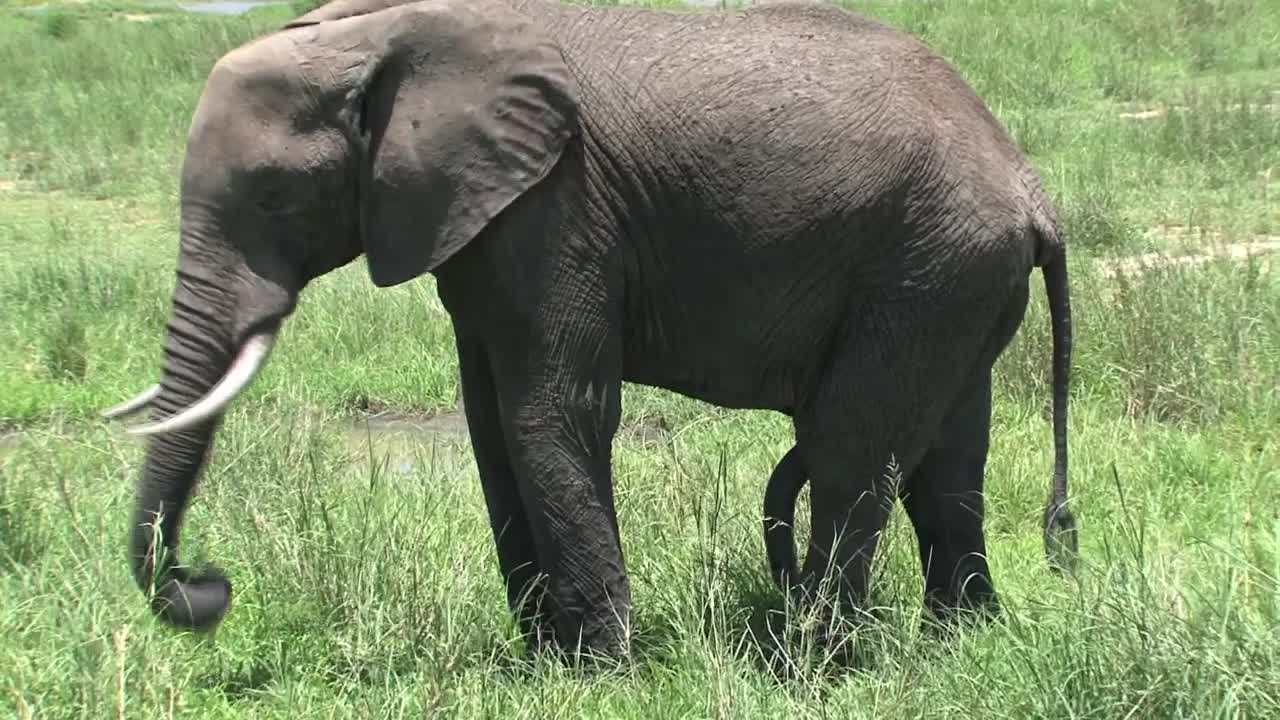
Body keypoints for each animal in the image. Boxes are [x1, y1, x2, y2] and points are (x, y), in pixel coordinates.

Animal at [103, 0, 1078, 662]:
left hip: (927, 264)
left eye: (274, 195)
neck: (385, 31)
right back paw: (963, 642)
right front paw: (543, 658)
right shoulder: (478, 217)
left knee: (848, 449)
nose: (208, 588)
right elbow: (491, 424)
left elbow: (554, 412)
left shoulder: (554, 209)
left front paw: (598, 670)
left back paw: (812, 660)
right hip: (952, 278)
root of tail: (1030, 188)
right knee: (949, 461)